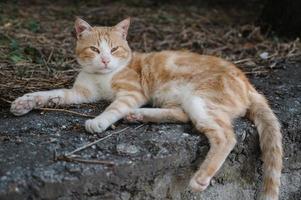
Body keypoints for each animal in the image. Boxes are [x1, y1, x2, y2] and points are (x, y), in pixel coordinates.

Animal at [9, 17, 282, 200]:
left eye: (115, 49)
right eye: (95, 49)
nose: (106, 60)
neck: (103, 76)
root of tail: (248, 83)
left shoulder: (132, 92)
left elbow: (114, 107)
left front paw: (99, 121)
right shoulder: (80, 93)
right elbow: (51, 94)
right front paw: (27, 101)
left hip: (200, 98)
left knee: (225, 136)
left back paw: (201, 177)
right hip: (181, 101)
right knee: (184, 116)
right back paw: (139, 115)